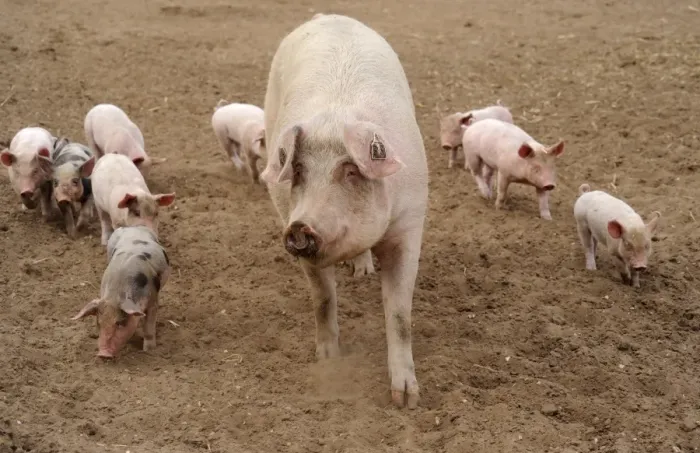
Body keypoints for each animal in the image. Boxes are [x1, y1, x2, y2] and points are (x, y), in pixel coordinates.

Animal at [72, 225, 171, 358]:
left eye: (120, 323)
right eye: (99, 323)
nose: (103, 354)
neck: (116, 294)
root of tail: (132, 227)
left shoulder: (153, 299)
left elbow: (149, 327)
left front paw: (149, 351)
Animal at [260, 13, 428, 409]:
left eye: (350, 170)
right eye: (299, 169)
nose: (301, 226)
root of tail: (326, 17)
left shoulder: (409, 224)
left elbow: (400, 314)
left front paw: (407, 400)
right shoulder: (291, 224)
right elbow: (322, 299)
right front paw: (328, 360)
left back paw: (363, 272)